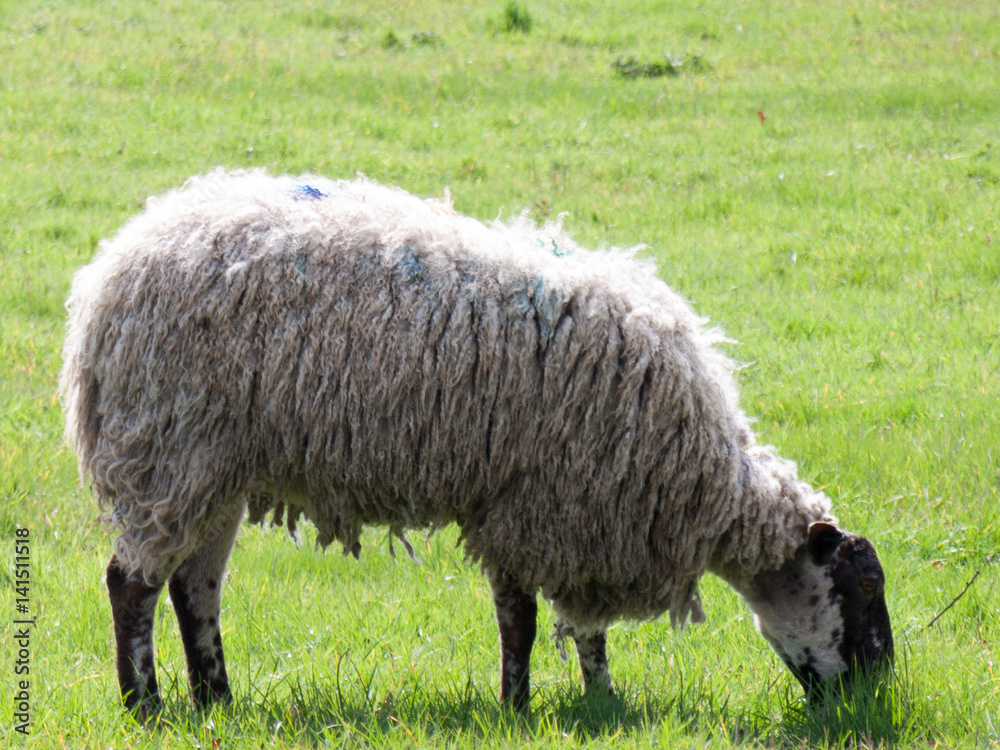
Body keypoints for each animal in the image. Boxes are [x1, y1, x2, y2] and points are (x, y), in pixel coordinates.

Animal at [58, 170, 896, 716]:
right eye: (861, 594)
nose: (874, 697)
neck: (706, 485)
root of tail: (111, 268)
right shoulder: (541, 504)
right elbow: (522, 618)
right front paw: (518, 706)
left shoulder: (579, 518)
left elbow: (581, 628)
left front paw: (601, 700)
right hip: (166, 447)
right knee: (131, 581)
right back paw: (145, 703)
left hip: (213, 468)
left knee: (194, 586)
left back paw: (216, 698)